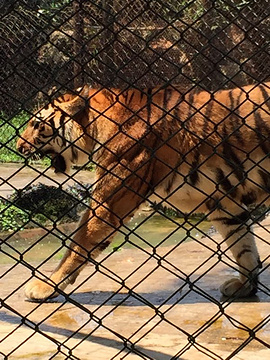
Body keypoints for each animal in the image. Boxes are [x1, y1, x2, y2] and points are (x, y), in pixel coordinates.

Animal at [17, 81, 270, 300]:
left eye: (37, 124)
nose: (18, 147)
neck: (94, 127)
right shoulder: (221, 201)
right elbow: (243, 245)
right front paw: (245, 286)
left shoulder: (110, 201)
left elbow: (77, 245)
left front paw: (44, 286)